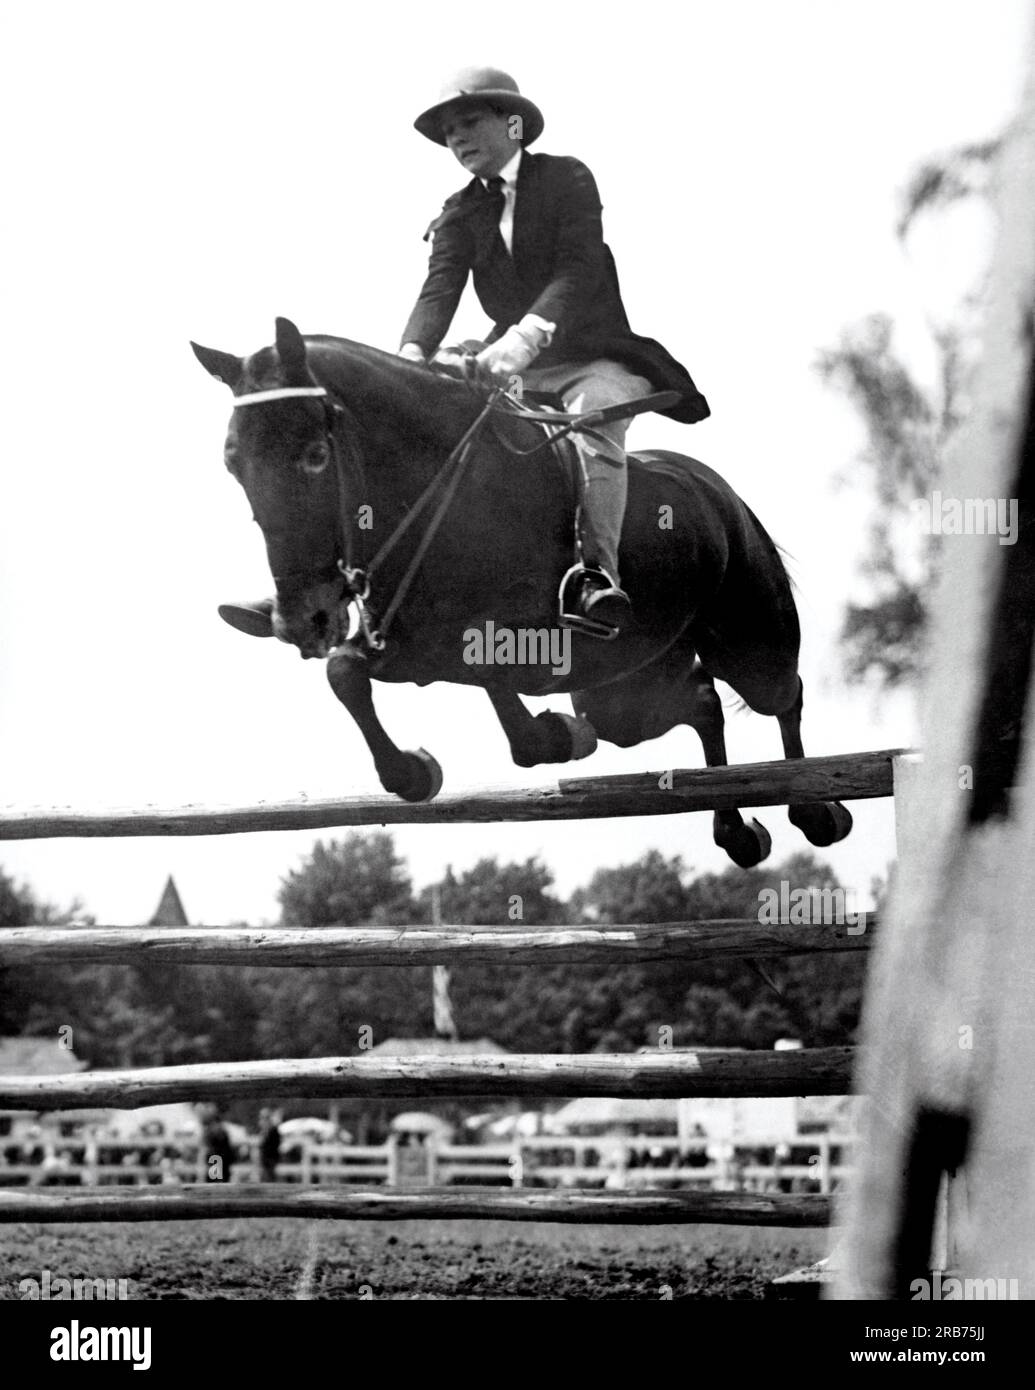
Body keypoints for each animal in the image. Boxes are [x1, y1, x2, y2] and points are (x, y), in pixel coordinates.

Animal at [190, 318, 850, 861]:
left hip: (750, 643)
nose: (302, 621)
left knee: (782, 695)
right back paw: (737, 832)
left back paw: (816, 810)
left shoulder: (509, 636)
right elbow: (347, 672)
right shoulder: (404, 643)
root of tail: (717, 492)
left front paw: (549, 736)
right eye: (232, 464)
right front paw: (419, 771)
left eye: (315, 456)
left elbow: (488, 681)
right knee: (701, 702)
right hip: (626, 694)